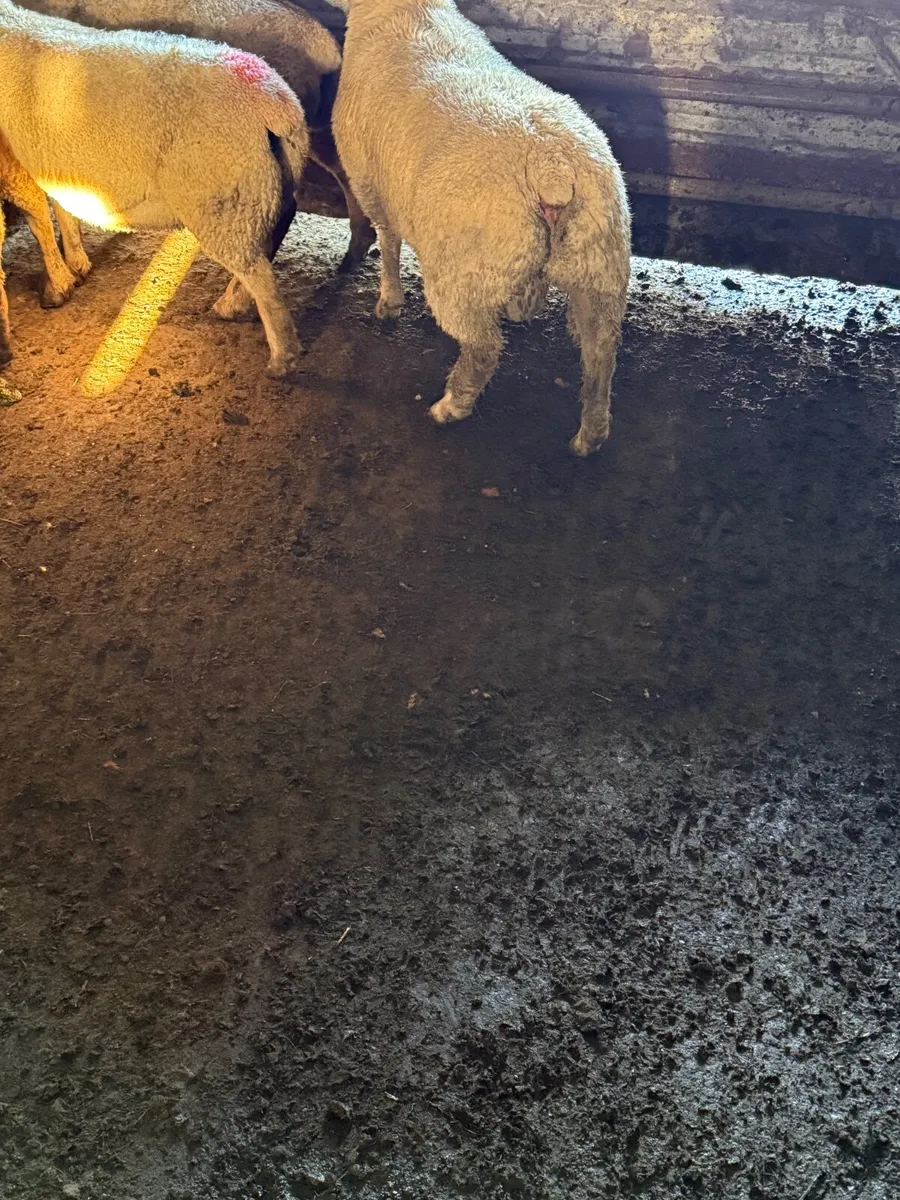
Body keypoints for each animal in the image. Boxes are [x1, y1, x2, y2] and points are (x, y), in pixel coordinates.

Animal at [0, 0, 310, 377]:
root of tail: (273, 101)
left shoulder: (12, 162)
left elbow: (38, 221)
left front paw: (58, 286)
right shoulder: (50, 161)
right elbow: (61, 210)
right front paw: (76, 262)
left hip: (220, 200)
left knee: (260, 275)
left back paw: (281, 358)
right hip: (256, 192)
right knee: (264, 248)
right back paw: (235, 304)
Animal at [17, 0, 377, 308]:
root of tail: (322, 43)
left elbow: (43, 210)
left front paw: (60, 282)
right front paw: (77, 260)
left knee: (284, 208)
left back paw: (235, 299)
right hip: (304, 129)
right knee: (343, 169)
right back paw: (356, 249)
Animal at [329, 0, 631, 456]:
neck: (411, 12)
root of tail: (552, 166)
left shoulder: (372, 186)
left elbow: (389, 242)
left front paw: (388, 302)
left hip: (464, 274)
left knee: (484, 348)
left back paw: (450, 406)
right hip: (599, 264)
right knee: (601, 352)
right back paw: (590, 435)